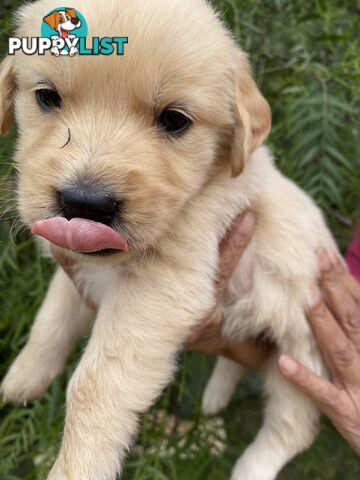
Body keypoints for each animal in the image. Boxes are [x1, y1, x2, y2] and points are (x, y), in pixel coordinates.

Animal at [0, 0, 338, 480]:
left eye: (175, 120)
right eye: (47, 97)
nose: (85, 202)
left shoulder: (161, 287)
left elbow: (94, 384)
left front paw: (77, 466)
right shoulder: (78, 268)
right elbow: (51, 318)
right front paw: (22, 379)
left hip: (302, 358)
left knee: (293, 426)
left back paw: (250, 468)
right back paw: (214, 397)